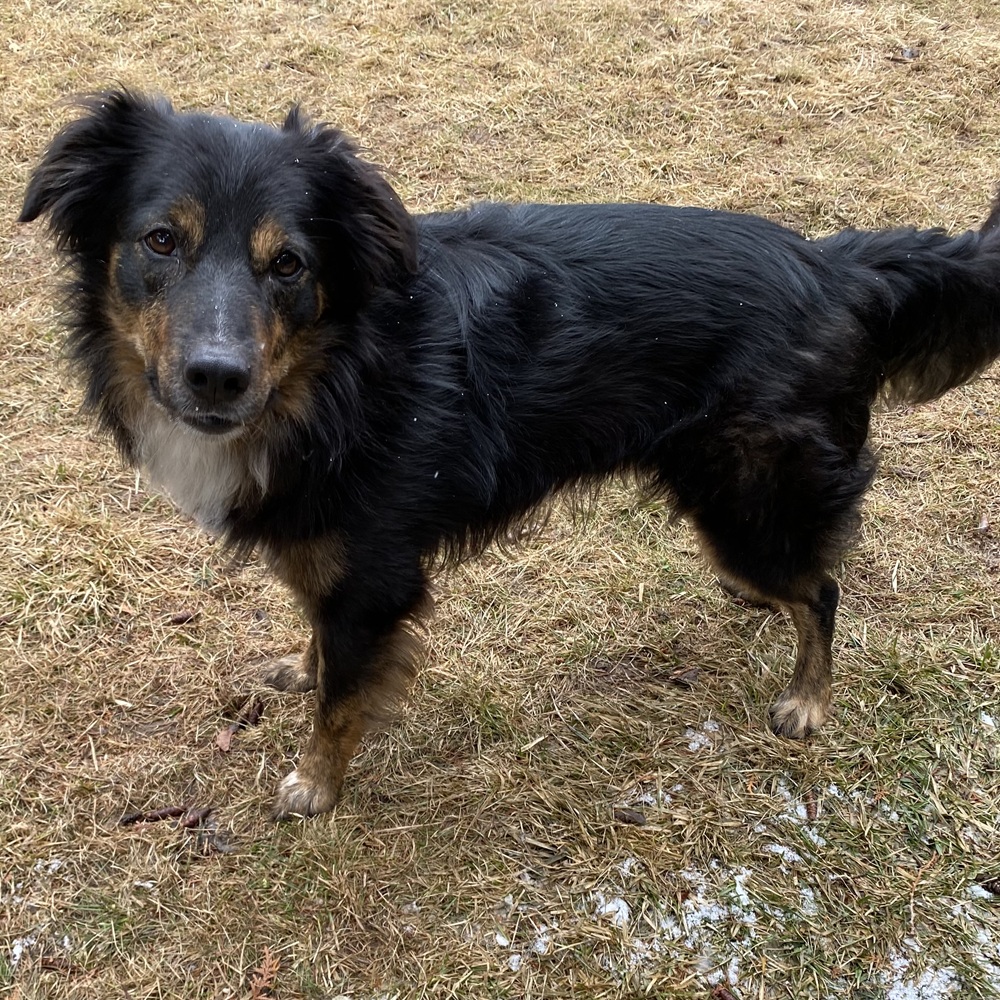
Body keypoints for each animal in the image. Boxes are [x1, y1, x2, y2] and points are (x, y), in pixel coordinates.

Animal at [20, 89, 1000, 819]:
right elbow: (321, 639)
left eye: (289, 265)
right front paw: (302, 665)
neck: (334, 371)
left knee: (823, 588)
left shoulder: (377, 572)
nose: (216, 379)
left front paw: (314, 787)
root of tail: (837, 267)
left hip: (747, 493)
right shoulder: (325, 550)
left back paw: (807, 699)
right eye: (160, 241)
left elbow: (345, 699)